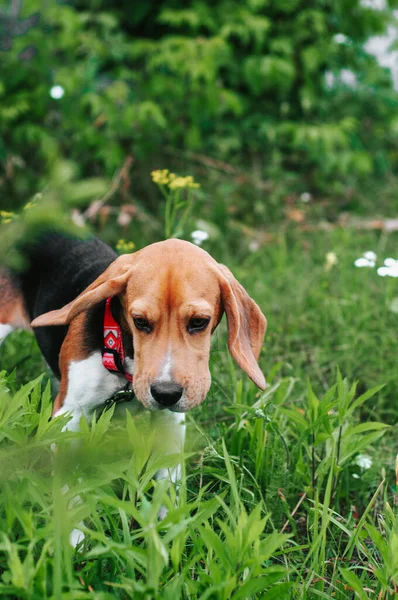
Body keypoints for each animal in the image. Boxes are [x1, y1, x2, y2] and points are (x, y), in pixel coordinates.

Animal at [0, 230, 268, 492]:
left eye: (199, 321)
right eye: (139, 321)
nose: (166, 393)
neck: (121, 352)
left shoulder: (170, 422)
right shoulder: (70, 417)